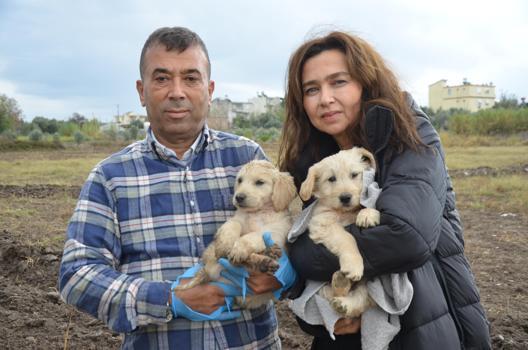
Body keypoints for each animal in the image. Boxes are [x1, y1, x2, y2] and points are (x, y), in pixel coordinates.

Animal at [174, 159, 294, 308]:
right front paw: (226, 244)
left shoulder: (276, 230)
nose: (239, 197)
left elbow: (254, 235)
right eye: (240, 180)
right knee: (239, 262)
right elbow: (232, 226)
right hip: (213, 255)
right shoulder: (237, 219)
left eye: (259, 182)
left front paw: (239, 248)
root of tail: (206, 270)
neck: (258, 212)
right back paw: (264, 259)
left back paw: (267, 257)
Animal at [302, 148, 380, 318]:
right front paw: (354, 265)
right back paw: (340, 283)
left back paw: (345, 304)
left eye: (354, 174)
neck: (346, 212)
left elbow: (366, 204)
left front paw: (367, 214)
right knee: (329, 293)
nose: (345, 197)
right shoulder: (323, 223)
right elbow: (347, 237)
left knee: (362, 298)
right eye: (331, 179)